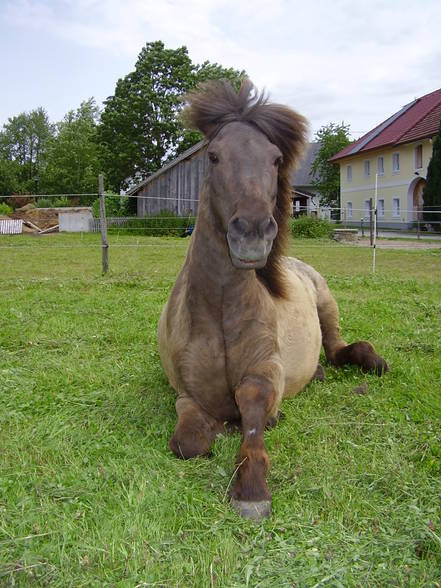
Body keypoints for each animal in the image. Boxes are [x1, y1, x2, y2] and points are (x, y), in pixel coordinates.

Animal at [157, 77, 384, 520]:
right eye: (213, 156)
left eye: (276, 159)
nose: (253, 233)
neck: (221, 311)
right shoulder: (186, 395)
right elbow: (188, 442)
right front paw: (216, 430)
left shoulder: (264, 376)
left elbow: (254, 416)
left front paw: (251, 488)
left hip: (327, 306)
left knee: (340, 349)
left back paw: (367, 362)